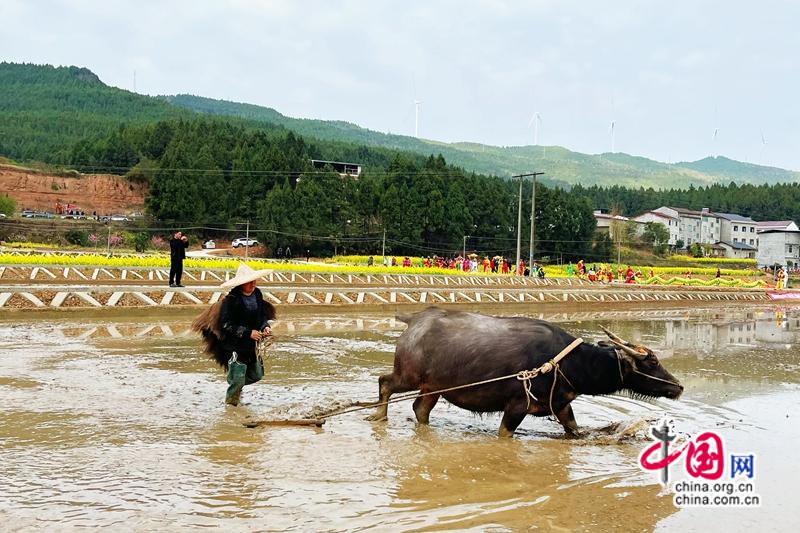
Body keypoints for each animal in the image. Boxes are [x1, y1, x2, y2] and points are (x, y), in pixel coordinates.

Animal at [367, 307, 683, 437]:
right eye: (652, 362)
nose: (678, 386)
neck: (569, 362)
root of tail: (414, 319)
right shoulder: (517, 406)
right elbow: (505, 433)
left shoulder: (561, 405)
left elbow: (574, 430)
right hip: (408, 375)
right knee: (385, 382)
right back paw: (379, 416)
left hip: (434, 387)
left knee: (420, 408)